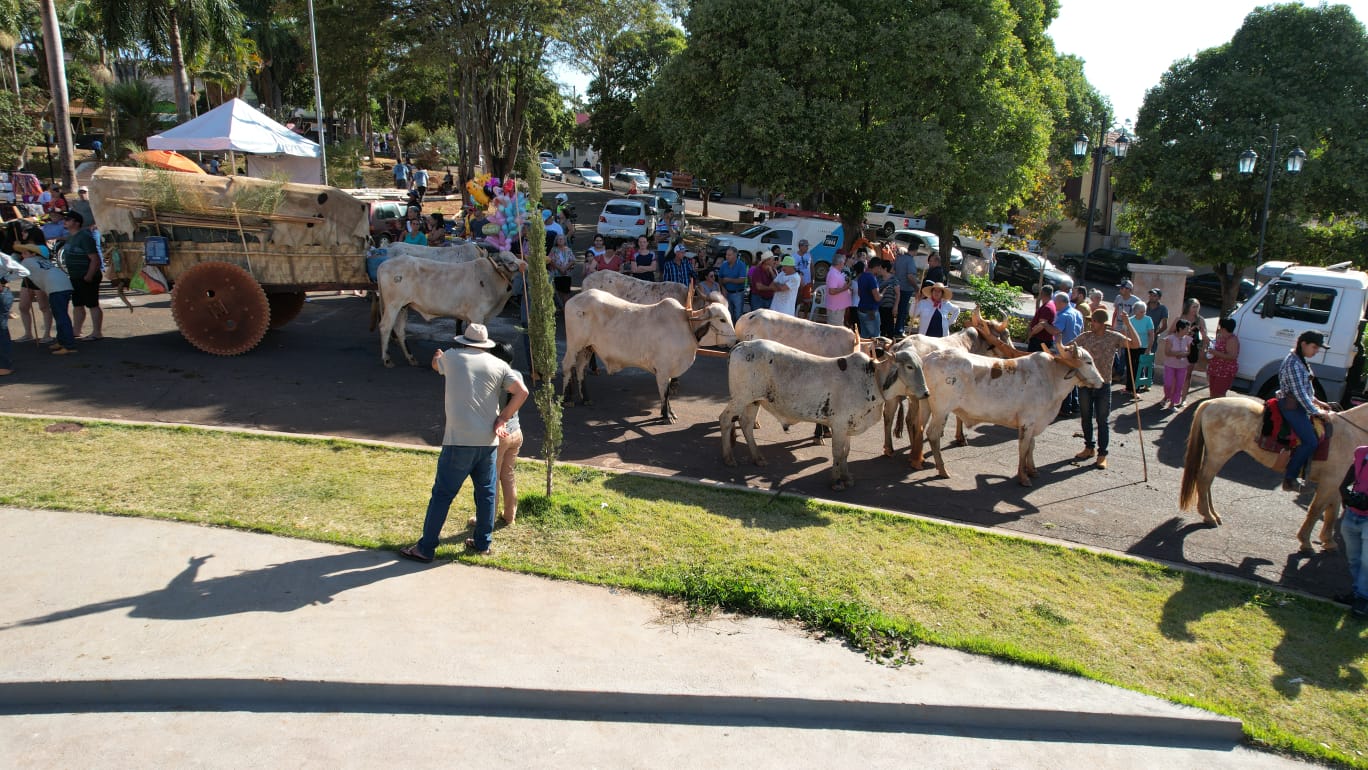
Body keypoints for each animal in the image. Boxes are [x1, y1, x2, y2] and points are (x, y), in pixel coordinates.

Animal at [1176, 396, 1368, 555]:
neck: (1351, 433)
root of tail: (1211, 403)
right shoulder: (1329, 482)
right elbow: (1316, 510)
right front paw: (1306, 542)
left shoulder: (1336, 484)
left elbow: (1332, 511)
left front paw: (1328, 542)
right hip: (1219, 454)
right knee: (1204, 480)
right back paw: (1208, 516)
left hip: (1215, 455)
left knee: (1207, 482)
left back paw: (1213, 514)